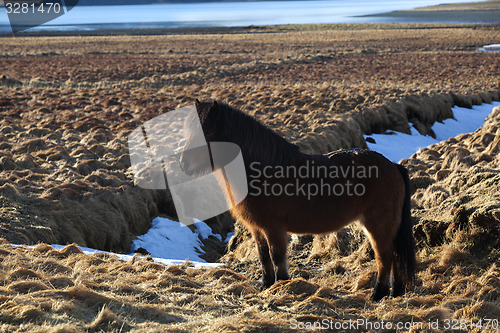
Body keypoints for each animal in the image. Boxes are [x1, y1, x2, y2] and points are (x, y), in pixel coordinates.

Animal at [182, 100, 416, 300]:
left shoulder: (274, 228)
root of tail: (393, 166)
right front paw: (266, 286)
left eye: (207, 133)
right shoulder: (257, 228)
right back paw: (395, 292)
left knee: (385, 257)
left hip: (378, 225)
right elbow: (263, 256)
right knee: (394, 255)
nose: (183, 164)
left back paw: (378, 294)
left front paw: (282, 286)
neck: (263, 171)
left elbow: (277, 257)